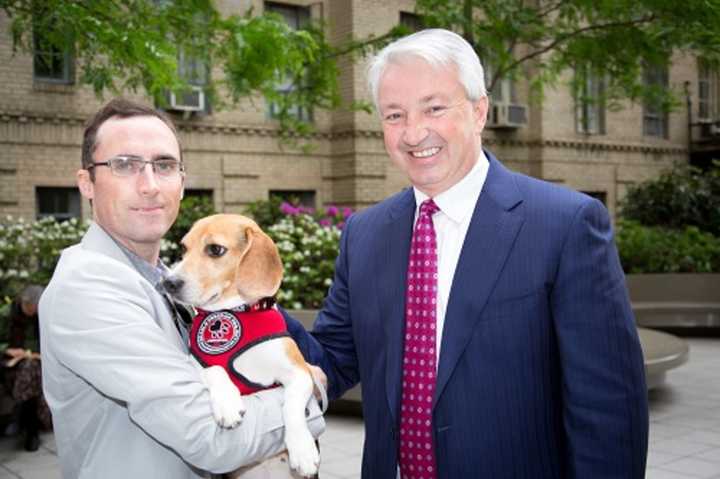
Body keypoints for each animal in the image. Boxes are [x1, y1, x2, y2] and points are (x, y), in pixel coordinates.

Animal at [165, 215, 322, 479]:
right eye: (183, 249)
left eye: (215, 250)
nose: (168, 282)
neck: (235, 311)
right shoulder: (195, 365)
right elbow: (215, 370)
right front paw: (227, 405)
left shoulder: (300, 373)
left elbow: (291, 405)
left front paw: (302, 448)